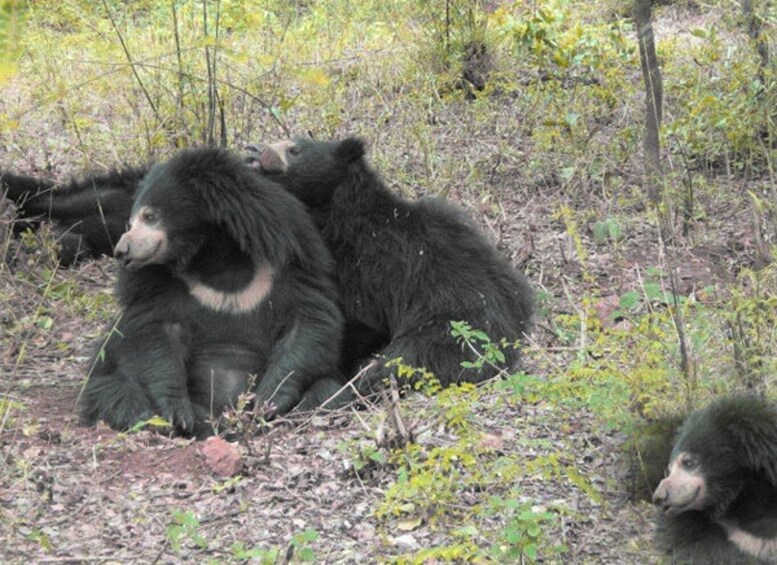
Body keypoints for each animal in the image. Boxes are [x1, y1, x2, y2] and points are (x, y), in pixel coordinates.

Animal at [80, 147, 344, 436]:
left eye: (150, 216)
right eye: (130, 222)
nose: (122, 251)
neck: (214, 253)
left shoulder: (292, 251)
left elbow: (306, 321)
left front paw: (267, 403)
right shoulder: (153, 285)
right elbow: (155, 332)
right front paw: (178, 414)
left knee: (328, 390)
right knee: (115, 391)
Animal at [244, 137, 532, 394]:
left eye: (294, 149)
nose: (253, 149)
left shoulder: (363, 266)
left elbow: (352, 318)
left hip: (449, 329)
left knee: (402, 362)